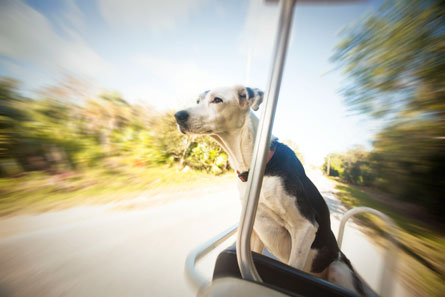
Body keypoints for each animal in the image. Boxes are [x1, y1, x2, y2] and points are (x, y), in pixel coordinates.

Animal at [175, 85, 376, 296]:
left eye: (217, 100)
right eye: (198, 101)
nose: (177, 115)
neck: (258, 167)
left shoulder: (304, 227)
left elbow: (293, 266)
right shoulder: (255, 231)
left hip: (338, 269)